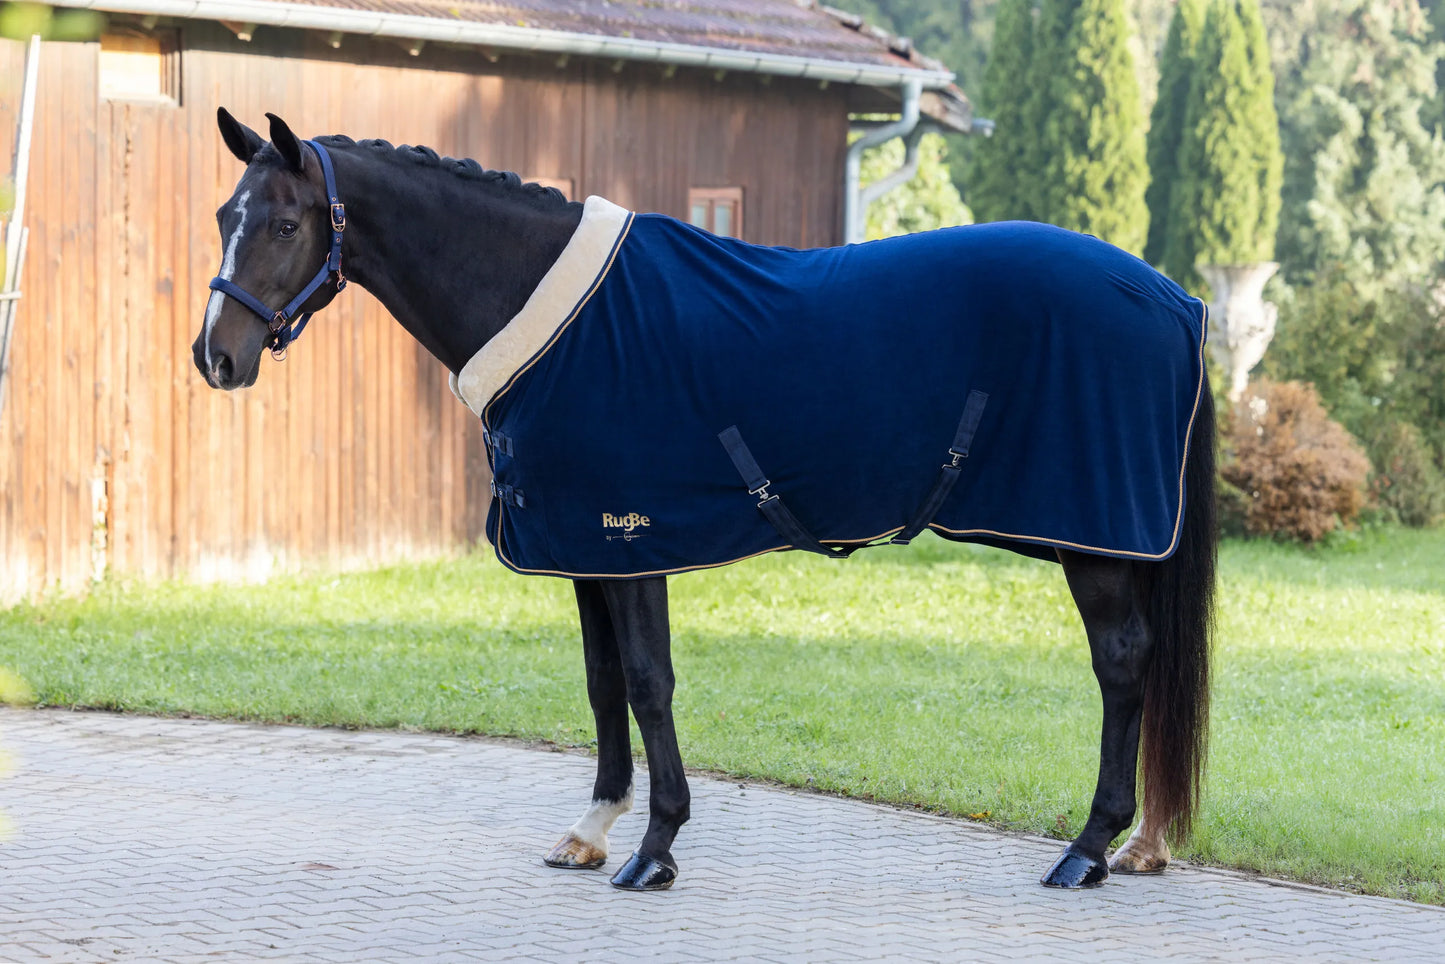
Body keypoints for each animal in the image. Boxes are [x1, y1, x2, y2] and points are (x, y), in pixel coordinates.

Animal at [194, 110, 1216, 893]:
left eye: (283, 224)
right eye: (222, 215)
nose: (216, 358)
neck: (553, 317)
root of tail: (1172, 296)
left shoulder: (630, 538)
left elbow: (650, 683)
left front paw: (653, 850)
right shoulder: (583, 548)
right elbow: (603, 681)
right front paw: (593, 829)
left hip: (1096, 542)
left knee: (1122, 664)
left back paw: (1086, 850)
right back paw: (1136, 846)